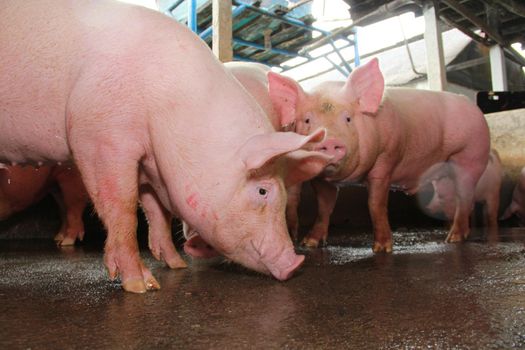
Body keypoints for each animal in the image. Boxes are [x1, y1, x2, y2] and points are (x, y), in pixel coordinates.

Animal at [0, 0, 330, 292]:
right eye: (263, 191)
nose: (295, 263)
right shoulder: (98, 135)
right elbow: (122, 207)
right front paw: (142, 286)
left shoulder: (150, 163)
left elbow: (157, 212)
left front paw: (176, 265)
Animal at [268, 58, 490, 253]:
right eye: (307, 120)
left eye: (348, 118)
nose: (329, 141)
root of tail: (470, 104)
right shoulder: (321, 179)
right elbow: (324, 206)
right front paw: (309, 244)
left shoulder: (386, 158)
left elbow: (375, 204)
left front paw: (382, 249)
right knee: (449, 198)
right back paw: (449, 234)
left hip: (471, 156)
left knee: (465, 196)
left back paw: (454, 238)